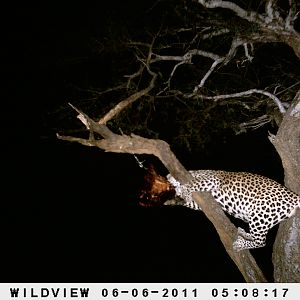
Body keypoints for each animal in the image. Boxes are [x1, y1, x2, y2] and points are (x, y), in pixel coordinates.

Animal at [166, 171, 300, 251]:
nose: (167, 180)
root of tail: (293, 196)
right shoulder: (203, 201)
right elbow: (190, 202)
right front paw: (172, 200)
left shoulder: (213, 179)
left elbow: (193, 183)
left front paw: (183, 191)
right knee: (257, 238)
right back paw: (242, 233)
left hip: (260, 214)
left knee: (261, 242)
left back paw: (239, 244)